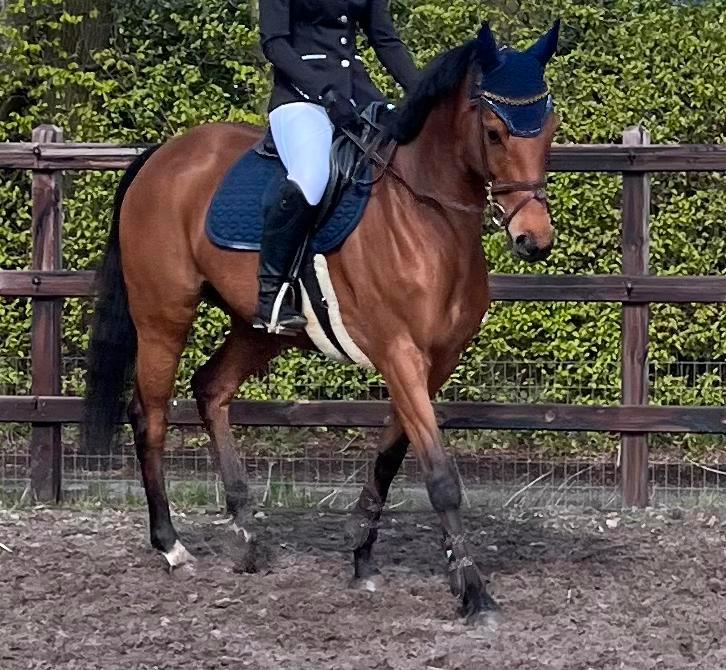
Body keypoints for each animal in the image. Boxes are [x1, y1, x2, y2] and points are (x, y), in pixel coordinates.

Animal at [84, 22, 559, 621]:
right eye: (495, 133)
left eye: (549, 128)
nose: (534, 240)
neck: (426, 215)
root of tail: (165, 154)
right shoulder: (399, 353)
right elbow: (440, 474)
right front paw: (474, 591)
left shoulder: (434, 363)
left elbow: (391, 456)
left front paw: (362, 554)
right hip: (163, 315)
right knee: (149, 415)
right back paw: (171, 546)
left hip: (256, 328)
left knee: (212, 389)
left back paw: (247, 536)